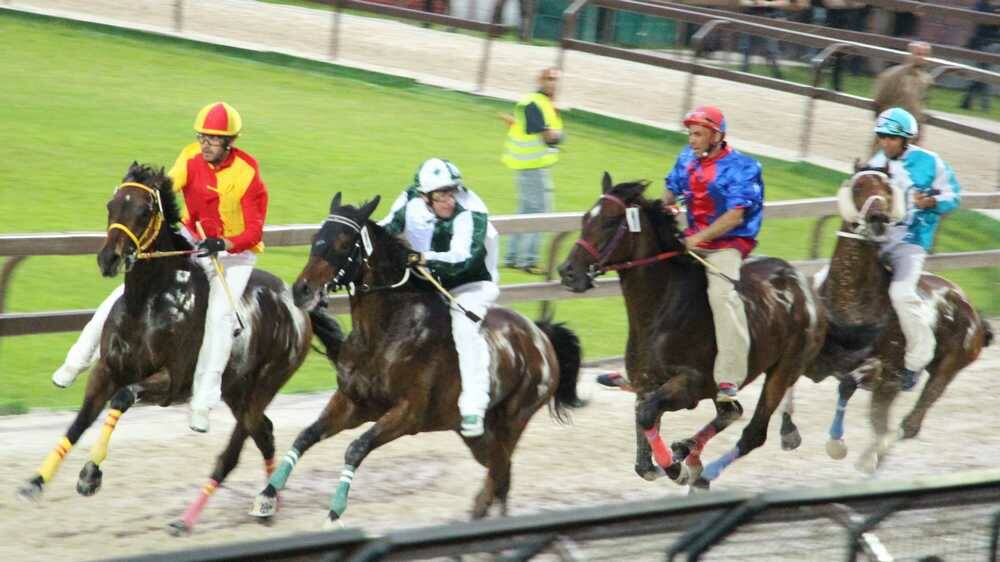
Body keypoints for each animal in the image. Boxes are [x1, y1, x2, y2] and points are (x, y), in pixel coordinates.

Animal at [15, 163, 316, 532]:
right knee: (265, 433)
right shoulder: (107, 369)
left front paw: (90, 474)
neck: (149, 304)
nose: (109, 258)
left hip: (264, 385)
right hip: (236, 390)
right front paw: (36, 481)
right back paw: (269, 501)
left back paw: (189, 519)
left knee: (235, 449)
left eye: (143, 212)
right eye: (111, 204)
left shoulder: (171, 382)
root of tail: (296, 304)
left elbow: (123, 397)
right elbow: (80, 421)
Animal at [245, 192, 584, 524]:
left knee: (501, 469)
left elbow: (356, 448)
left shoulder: (408, 413)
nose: (302, 290)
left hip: (513, 419)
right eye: (317, 237)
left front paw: (335, 510)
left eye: (343, 242)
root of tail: (541, 336)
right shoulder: (353, 402)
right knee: (499, 471)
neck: (383, 331)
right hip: (473, 432)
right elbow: (306, 436)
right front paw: (267, 495)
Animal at [560, 173, 824, 488]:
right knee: (732, 411)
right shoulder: (647, 383)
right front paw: (666, 461)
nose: (568, 272)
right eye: (586, 217)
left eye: (611, 222)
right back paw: (689, 450)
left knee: (754, 432)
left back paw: (703, 471)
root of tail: (800, 283)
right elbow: (643, 440)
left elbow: (647, 416)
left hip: (783, 369)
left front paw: (676, 468)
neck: (662, 310)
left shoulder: (692, 384)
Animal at [812, 164, 992, 470]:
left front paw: (836, 444)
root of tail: (970, 308)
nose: (878, 219)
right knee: (885, 423)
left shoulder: (882, 368)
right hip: (889, 389)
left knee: (909, 424)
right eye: (858, 187)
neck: (852, 303)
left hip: (942, 369)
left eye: (887, 189)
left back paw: (874, 455)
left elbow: (848, 383)